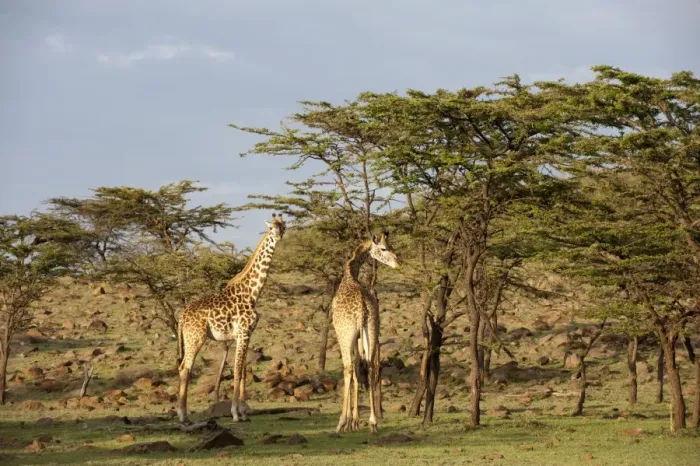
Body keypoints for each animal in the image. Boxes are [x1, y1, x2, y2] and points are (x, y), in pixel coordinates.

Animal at [176, 214, 286, 423]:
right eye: (271, 228)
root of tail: (181, 317)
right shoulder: (243, 333)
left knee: (182, 367)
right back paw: (183, 415)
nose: (279, 237)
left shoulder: (246, 335)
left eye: (283, 227)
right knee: (185, 368)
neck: (252, 293)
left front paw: (243, 412)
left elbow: (242, 371)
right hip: (195, 338)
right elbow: (236, 370)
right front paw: (235, 413)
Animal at [332, 231, 401, 433]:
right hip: (371, 328)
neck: (350, 275)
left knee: (348, 368)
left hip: (344, 335)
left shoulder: (349, 335)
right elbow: (359, 368)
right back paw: (373, 422)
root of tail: (363, 306)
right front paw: (355, 421)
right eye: (384, 248)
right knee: (370, 367)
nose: (398, 262)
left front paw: (349, 421)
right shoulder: (360, 335)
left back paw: (340, 422)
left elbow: (352, 369)